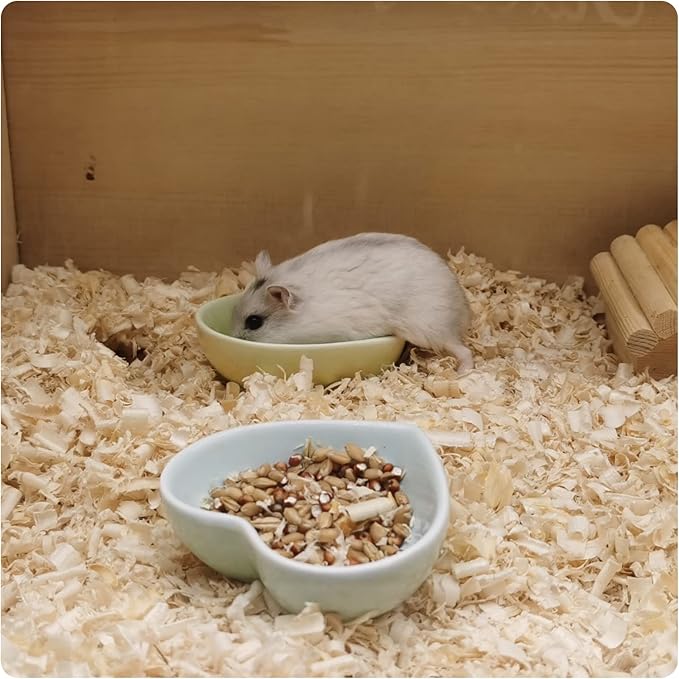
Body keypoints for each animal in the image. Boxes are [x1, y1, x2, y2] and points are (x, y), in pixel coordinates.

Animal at [230, 232, 473, 372]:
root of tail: (465, 311)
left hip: (430, 329)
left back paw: (462, 373)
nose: (233, 337)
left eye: (254, 322)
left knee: (464, 352)